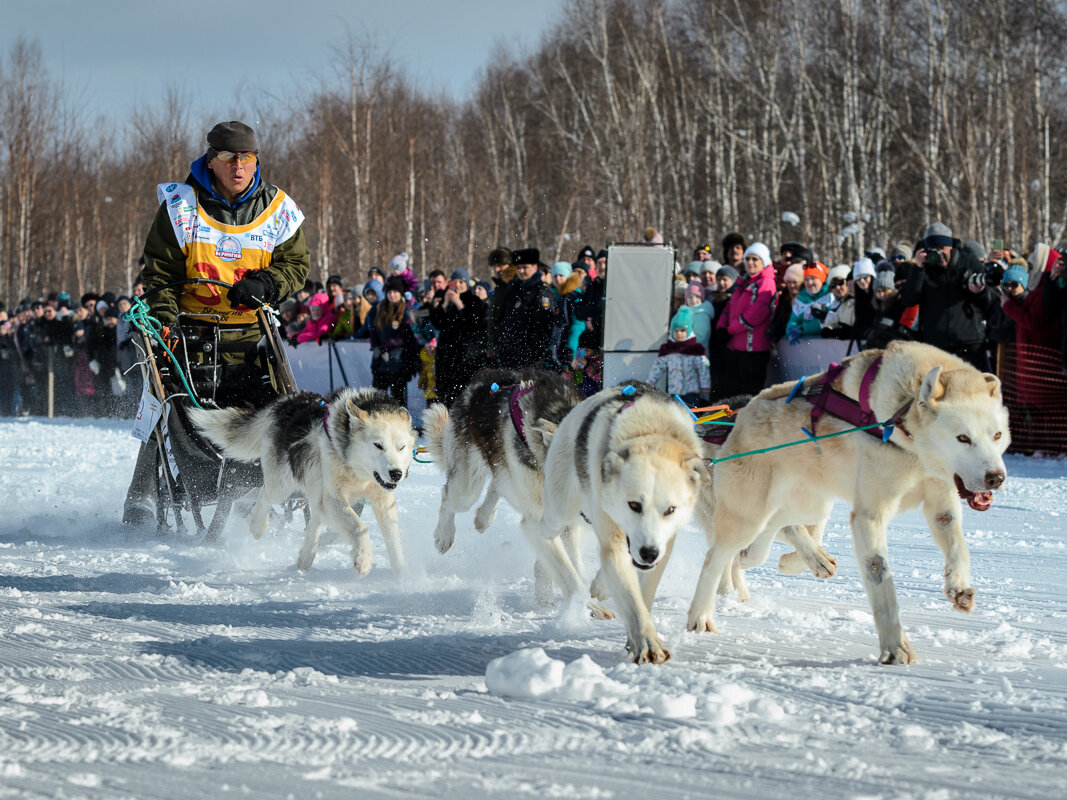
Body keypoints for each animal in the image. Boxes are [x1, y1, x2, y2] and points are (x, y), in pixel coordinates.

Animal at [189, 388, 413, 576]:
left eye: (401, 447)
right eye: (378, 445)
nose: (396, 473)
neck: (359, 472)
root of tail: (287, 401)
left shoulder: (383, 502)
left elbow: (393, 540)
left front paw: (403, 575)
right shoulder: (333, 499)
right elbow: (358, 526)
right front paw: (364, 558)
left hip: (314, 492)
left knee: (313, 523)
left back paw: (305, 559)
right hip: (282, 486)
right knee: (263, 494)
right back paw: (257, 526)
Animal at [422, 371, 610, 618]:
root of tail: (481, 379)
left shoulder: (567, 523)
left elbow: (572, 565)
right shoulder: (541, 521)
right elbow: (569, 575)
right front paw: (588, 605)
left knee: (496, 484)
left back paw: (484, 517)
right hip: (466, 488)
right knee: (448, 496)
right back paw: (444, 534)